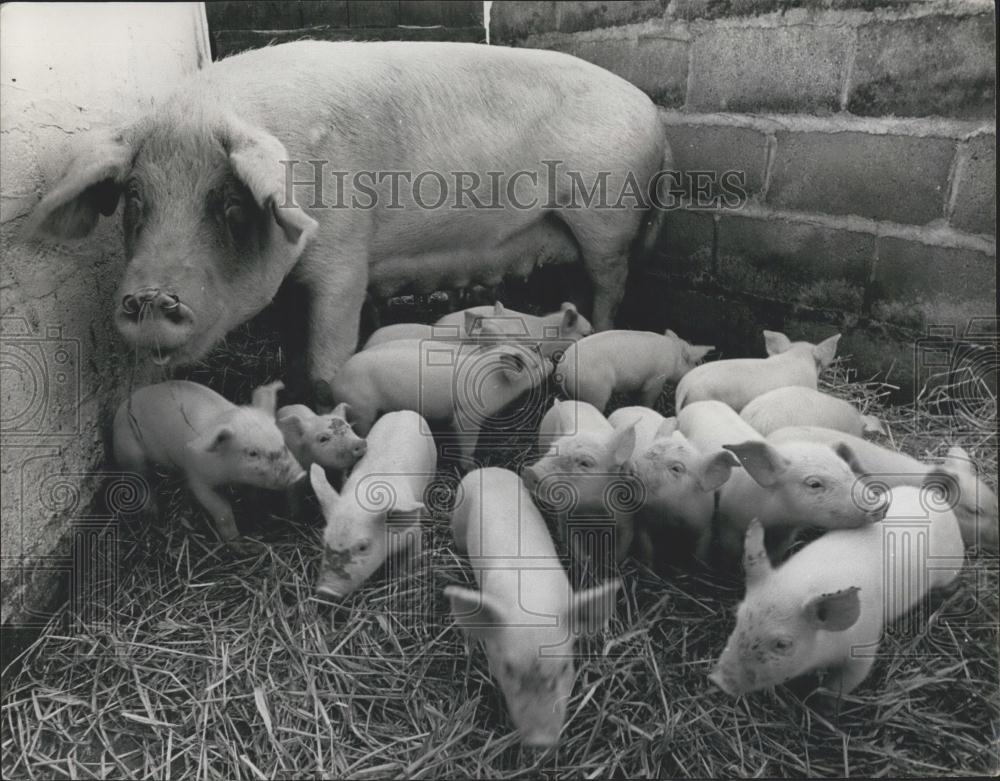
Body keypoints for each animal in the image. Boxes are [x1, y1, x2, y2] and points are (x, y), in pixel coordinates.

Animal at [29, 41, 672, 388]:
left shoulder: (342, 254)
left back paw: (601, 332)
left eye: (230, 203)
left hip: (607, 218)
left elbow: (328, 348)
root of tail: (653, 114)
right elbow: (293, 343)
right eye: (135, 199)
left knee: (610, 285)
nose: (148, 298)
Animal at [446, 466, 616, 748]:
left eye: (564, 667)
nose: (541, 740)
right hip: (458, 516)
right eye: (508, 668)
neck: (531, 599)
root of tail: (487, 468)